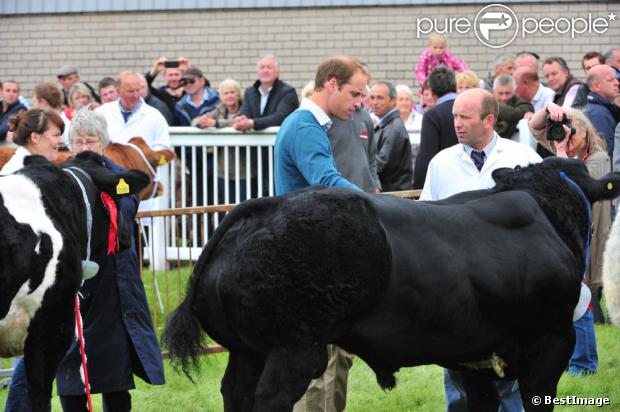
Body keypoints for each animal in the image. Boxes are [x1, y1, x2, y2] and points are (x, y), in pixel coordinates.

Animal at [163, 156, 620, 410]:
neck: (545, 211)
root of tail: (267, 206)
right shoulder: (552, 341)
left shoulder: (475, 357)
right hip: (294, 348)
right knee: (269, 398)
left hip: (248, 350)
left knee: (235, 393)